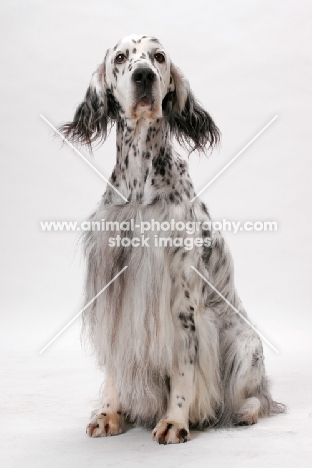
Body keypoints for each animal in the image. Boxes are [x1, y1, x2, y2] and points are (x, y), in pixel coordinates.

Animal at [59, 33, 286, 446]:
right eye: (121, 58)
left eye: (159, 57)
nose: (144, 75)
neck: (139, 187)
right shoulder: (114, 289)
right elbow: (116, 360)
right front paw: (110, 415)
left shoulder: (182, 298)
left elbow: (184, 366)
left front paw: (175, 421)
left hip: (244, 346)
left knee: (260, 397)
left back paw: (243, 413)